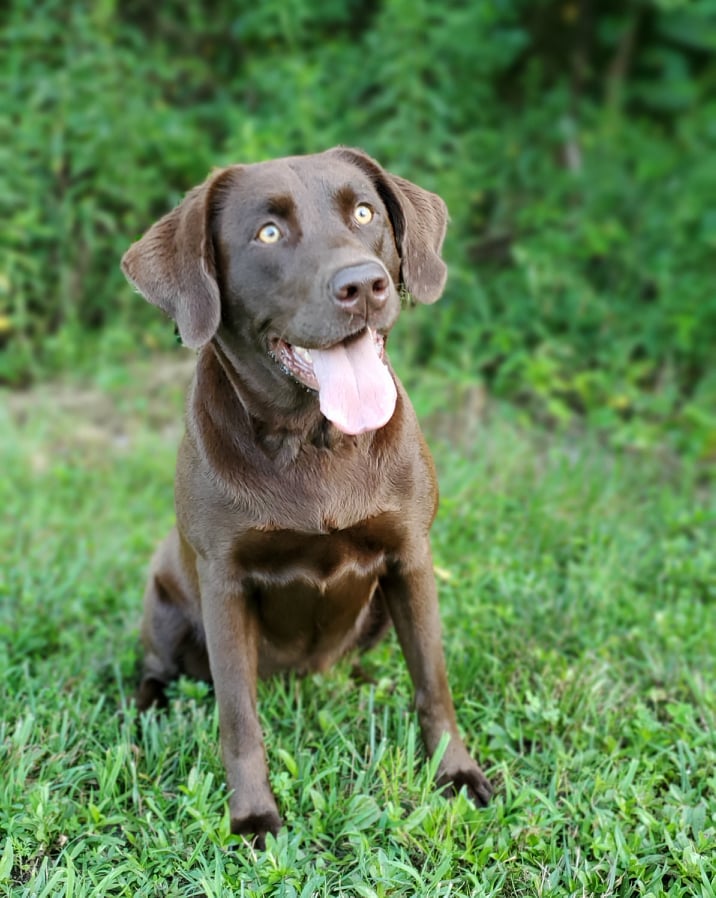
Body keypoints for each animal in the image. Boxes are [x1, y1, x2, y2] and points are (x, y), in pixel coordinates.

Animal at [123, 145, 492, 840]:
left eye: (365, 212)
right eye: (268, 233)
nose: (363, 285)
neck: (315, 440)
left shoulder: (411, 556)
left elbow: (433, 680)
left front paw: (455, 773)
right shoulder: (224, 581)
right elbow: (239, 718)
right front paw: (253, 817)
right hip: (163, 596)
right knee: (158, 669)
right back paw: (142, 712)